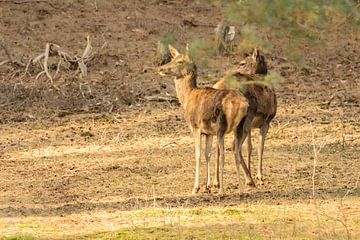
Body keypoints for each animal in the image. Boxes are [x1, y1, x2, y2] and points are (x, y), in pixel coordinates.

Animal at [158, 44, 256, 195]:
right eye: (172, 58)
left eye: (180, 61)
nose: (161, 69)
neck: (187, 97)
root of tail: (241, 103)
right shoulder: (209, 132)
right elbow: (207, 154)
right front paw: (207, 186)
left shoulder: (196, 127)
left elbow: (198, 154)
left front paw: (196, 187)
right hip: (241, 126)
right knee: (236, 151)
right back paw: (241, 189)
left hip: (222, 126)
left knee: (223, 154)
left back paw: (222, 190)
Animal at [212, 48, 278, 184]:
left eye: (242, 63)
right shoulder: (266, 121)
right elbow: (260, 148)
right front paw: (260, 176)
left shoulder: (254, 125)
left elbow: (250, 147)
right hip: (246, 117)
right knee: (234, 145)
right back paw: (249, 179)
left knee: (218, 146)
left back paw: (215, 182)